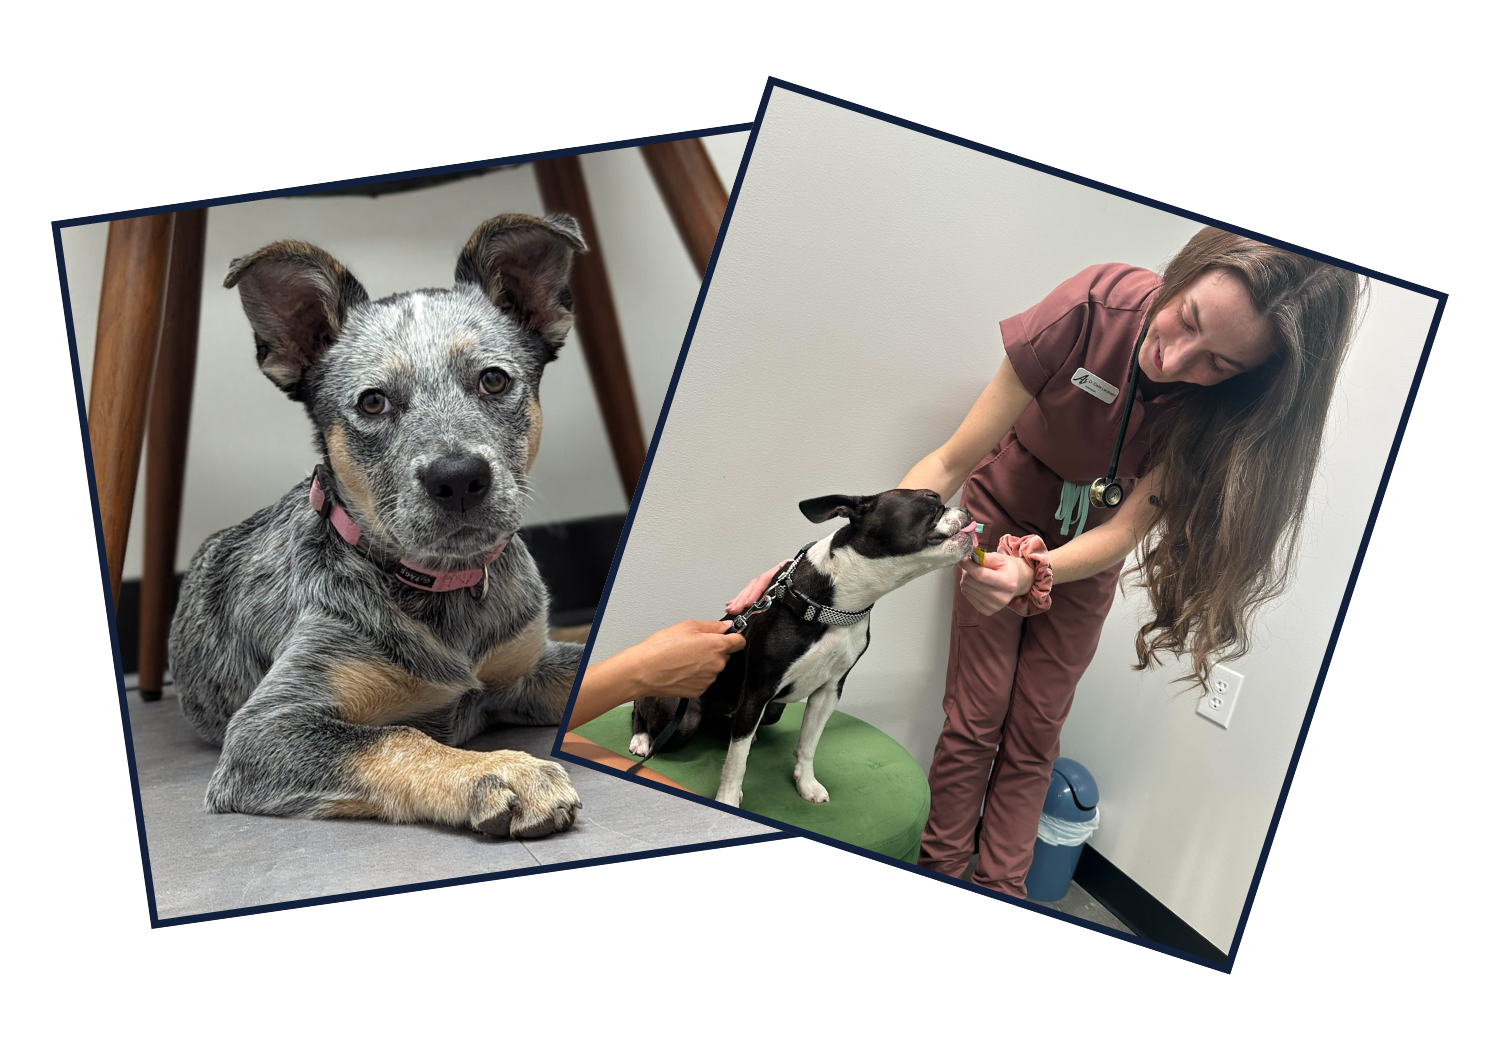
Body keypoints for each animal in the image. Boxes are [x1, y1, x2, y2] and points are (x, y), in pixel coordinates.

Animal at [172, 217, 594, 840]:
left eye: (493, 380)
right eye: (373, 402)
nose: (458, 479)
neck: (441, 589)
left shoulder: (528, 665)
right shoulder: (266, 730)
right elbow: (398, 737)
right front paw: (501, 772)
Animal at [630, 489, 972, 804]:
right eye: (931, 499)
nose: (967, 511)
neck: (841, 605)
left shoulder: (828, 691)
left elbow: (808, 744)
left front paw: (806, 784)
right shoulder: (757, 689)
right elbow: (735, 763)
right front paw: (727, 800)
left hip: (770, 710)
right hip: (681, 716)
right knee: (642, 709)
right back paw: (642, 739)